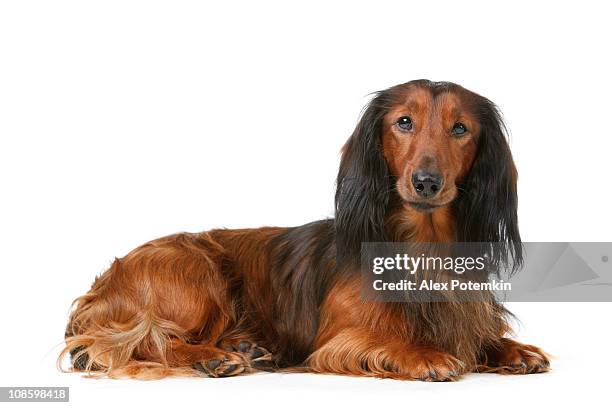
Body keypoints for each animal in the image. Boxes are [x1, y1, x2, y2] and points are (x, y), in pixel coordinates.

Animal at [59, 79, 548, 380]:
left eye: (460, 128)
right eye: (404, 122)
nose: (426, 182)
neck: (424, 247)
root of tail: (101, 286)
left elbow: (484, 338)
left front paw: (512, 350)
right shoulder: (337, 341)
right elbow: (384, 339)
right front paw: (424, 355)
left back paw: (245, 349)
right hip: (197, 276)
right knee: (133, 343)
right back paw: (212, 358)